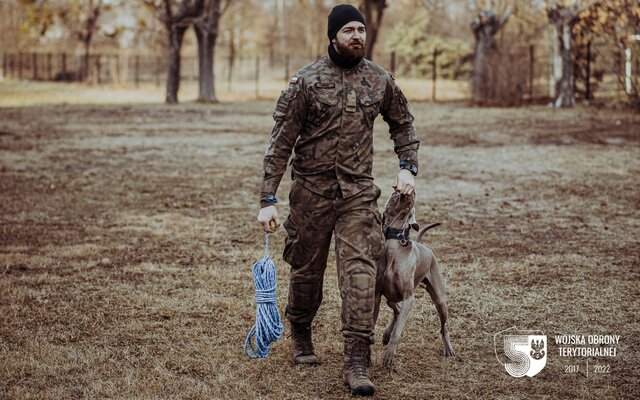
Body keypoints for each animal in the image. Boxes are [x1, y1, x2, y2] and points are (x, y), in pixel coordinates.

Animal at [376, 192, 456, 368]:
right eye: (393, 195)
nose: (410, 192)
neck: (394, 246)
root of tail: (423, 245)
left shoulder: (409, 298)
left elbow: (398, 330)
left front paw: (389, 355)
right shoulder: (378, 292)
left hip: (440, 300)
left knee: (444, 327)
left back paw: (448, 348)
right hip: (390, 296)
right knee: (396, 310)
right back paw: (386, 334)